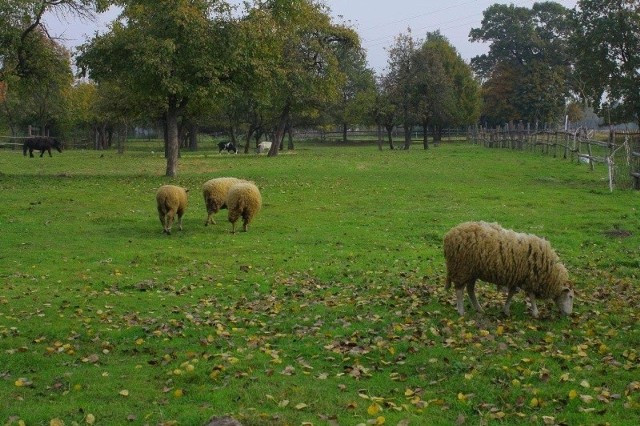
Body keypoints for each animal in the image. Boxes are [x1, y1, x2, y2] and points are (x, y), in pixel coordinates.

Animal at [444, 223, 576, 316]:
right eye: (570, 296)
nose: (569, 314)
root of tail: (450, 234)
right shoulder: (529, 278)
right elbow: (531, 296)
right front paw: (535, 312)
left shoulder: (518, 277)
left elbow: (512, 294)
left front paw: (506, 310)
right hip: (462, 268)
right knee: (459, 291)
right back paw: (461, 311)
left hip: (472, 271)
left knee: (470, 289)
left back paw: (479, 309)